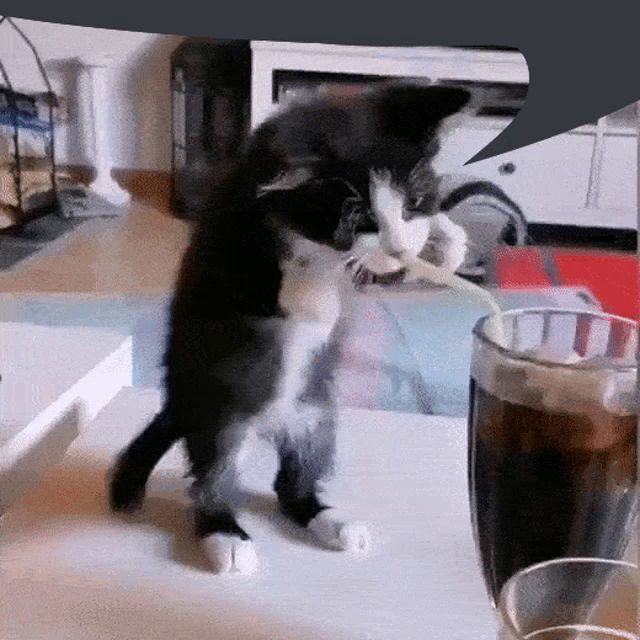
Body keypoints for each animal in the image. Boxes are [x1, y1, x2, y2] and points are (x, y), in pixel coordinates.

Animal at [109, 82, 470, 572]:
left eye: (413, 202)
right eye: (360, 218)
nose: (397, 248)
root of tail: (270, 421)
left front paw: (446, 244)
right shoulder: (232, 246)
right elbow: (283, 283)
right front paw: (317, 293)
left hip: (317, 414)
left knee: (291, 484)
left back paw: (330, 520)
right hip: (219, 410)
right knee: (210, 474)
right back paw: (225, 535)